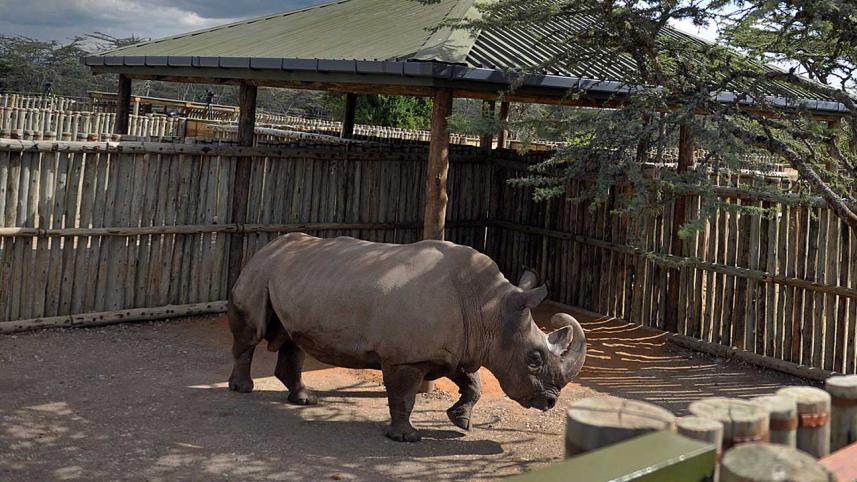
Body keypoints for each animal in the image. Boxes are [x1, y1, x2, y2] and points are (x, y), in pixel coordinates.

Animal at [227, 233, 586, 442]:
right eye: (534, 359)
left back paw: (305, 400)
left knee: (292, 339)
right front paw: (406, 437)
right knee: (252, 333)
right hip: (260, 271)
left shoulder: (459, 348)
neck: (490, 310)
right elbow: (404, 395)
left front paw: (461, 423)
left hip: (293, 276)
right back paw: (242, 389)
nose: (550, 402)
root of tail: (265, 246)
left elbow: (473, 383)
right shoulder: (406, 357)